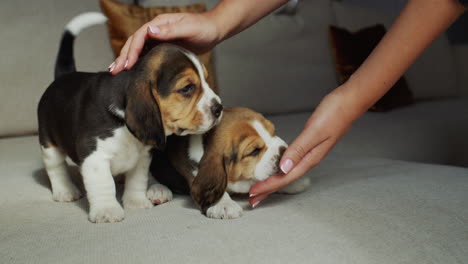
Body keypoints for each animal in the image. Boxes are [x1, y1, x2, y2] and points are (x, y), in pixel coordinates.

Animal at [37, 12, 222, 223]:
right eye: (187, 88)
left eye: (206, 80)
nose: (219, 108)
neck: (123, 126)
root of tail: (63, 76)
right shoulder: (94, 155)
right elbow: (103, 184)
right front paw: (107, 210)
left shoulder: (142, 156)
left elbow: (137, 180)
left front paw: (136, 202)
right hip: (48, 143)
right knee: (56, 168)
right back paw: (65, 191)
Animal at [151, 106, 310, 219]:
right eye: (254, 151)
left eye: (273, 132)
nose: (284, 151)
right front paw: (224, 205)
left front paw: (292, 183)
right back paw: (158, 190)